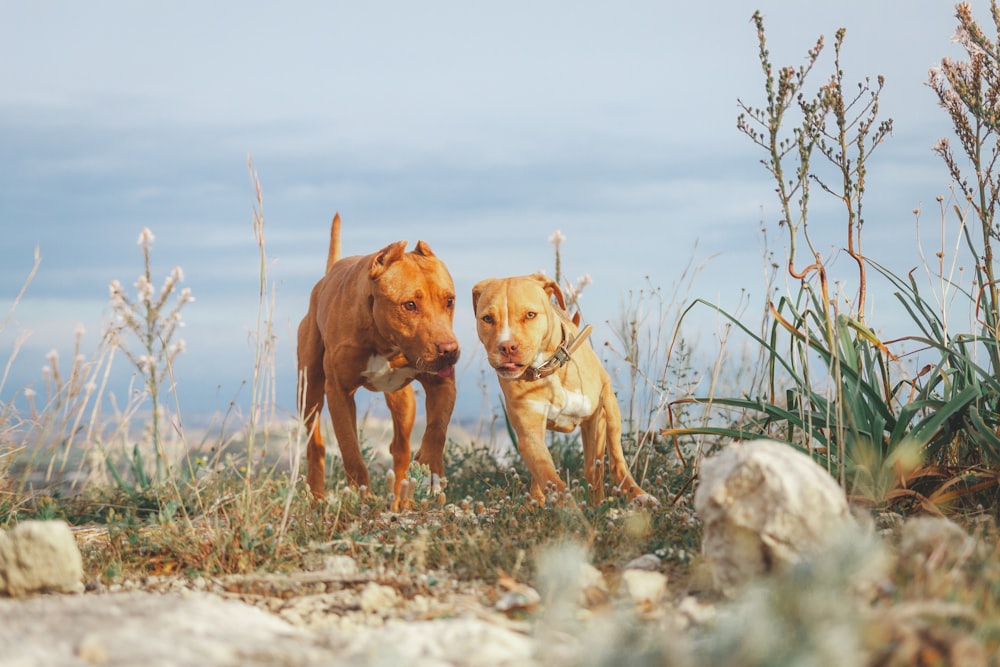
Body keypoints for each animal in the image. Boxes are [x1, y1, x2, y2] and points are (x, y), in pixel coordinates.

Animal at [296, 214, 460, 512]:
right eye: (409, 305)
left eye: (450, 300)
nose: (449, 351)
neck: (383, 339)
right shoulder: (338, 393)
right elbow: (350, 450)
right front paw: (363, 496)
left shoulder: (442, 383)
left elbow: (437, 429)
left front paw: (431, 470)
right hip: (309, 392)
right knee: (316, 444)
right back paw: (317, 497)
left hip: (403, 403)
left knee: (401, 447)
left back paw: (402, 499)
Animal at [470, 272, 656, 506]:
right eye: (487, 318)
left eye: (530, 314)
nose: (507, 347)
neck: (547, 369)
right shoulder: (529, 435)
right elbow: (550, 478)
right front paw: (568, 509)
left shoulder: (594, 418)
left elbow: (594, 467)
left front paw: (594, 506)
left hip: (610, 409)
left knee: (616, 459)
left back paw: (638, 494)